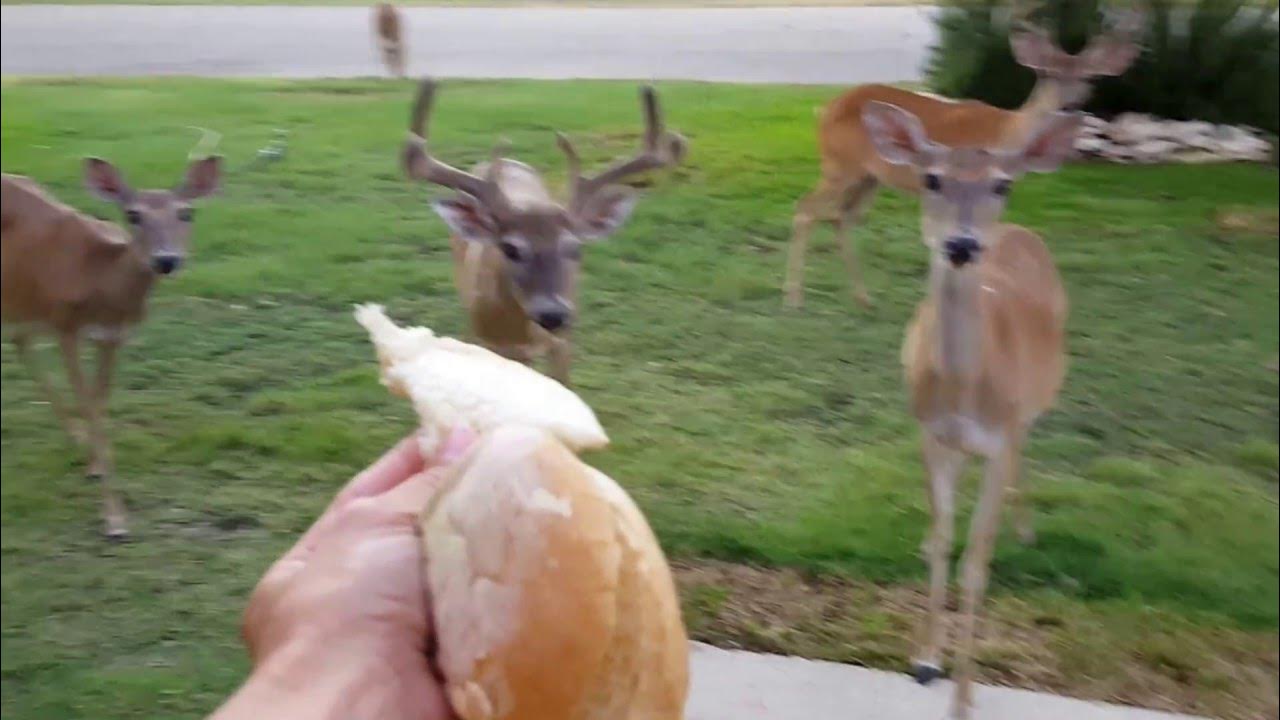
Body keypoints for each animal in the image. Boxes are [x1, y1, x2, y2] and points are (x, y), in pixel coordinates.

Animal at [1, 155, 222, 539]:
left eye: (187, 212)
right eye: (133, 214)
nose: (166, 260)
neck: (102, 285)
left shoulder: (112, 336)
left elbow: (100, 402)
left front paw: (96, 468)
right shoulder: (65, 326)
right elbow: (89, 403)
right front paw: (115, 519)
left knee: (19, 341)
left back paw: (76, 439)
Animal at [400, 78, 686, 385]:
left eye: (575, 247)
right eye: (510, 248)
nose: (553, 314)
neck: (520, 335)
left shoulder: (563, 344)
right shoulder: (488, 344)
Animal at [783, 10, 1140, 309]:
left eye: (1090, 78)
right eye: (1046, 73)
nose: (1068, 105)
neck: (1006, 131)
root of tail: (824, 110)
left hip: (867, 177)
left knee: (841, 218)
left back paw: (863, 297)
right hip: (840, 166)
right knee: (806, 209)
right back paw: (794, 299)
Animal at [858, 99, 1082, 718]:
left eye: (1002, 183)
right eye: (931, 178)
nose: (961, 245)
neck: (963, 388)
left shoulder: (997, 439)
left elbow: (976, 565)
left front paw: (963, 699)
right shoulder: (931, 435)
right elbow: (941, 543)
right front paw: (925, 660)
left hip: (1036, 400)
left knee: (1025, 451)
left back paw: (1024, 528)